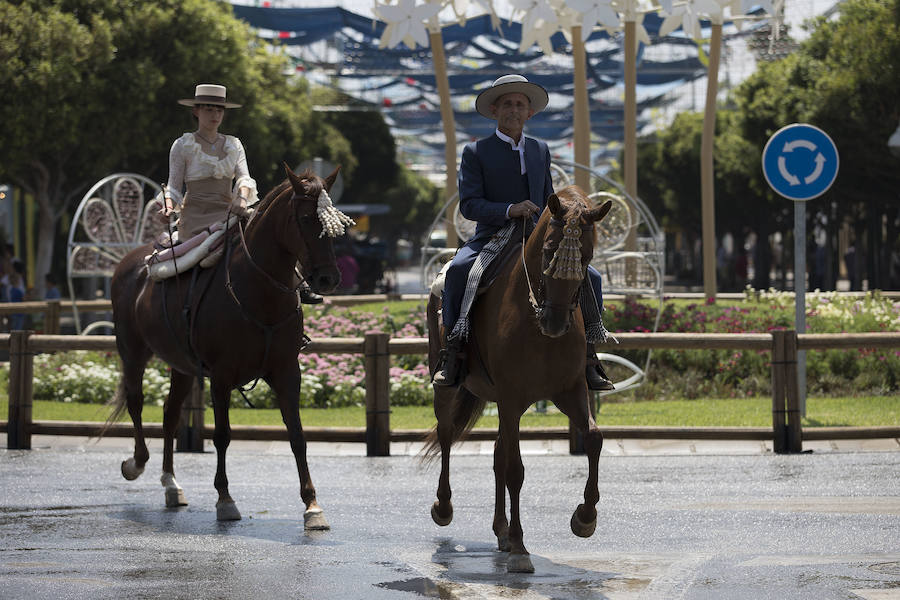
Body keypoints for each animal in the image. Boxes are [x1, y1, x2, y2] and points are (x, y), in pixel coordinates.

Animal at [106, 165, 344, 528]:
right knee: (136, 402)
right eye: (305, 218)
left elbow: (297, 436)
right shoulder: (221, 376)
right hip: (132, 351)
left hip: (181, 364)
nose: (328, 278)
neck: (258, 291)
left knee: (170, 414)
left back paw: (171, 484)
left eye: (334, 222)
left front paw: (312, 505)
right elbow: (222, 435)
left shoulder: (287, 372)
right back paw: (136, 463)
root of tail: (132, 261)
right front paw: (225, 499)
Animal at [428, 186, 612, 572]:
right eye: (548, 252)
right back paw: (445, 507)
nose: (555, 323)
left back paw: (499, 529)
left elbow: (593, 439)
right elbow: (515, 469)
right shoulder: (512, 399)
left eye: (586, 256)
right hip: (449, 389)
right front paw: (519, 545)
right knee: (447, 435)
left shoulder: (570, 390)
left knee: (497, 452)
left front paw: (584, 517)